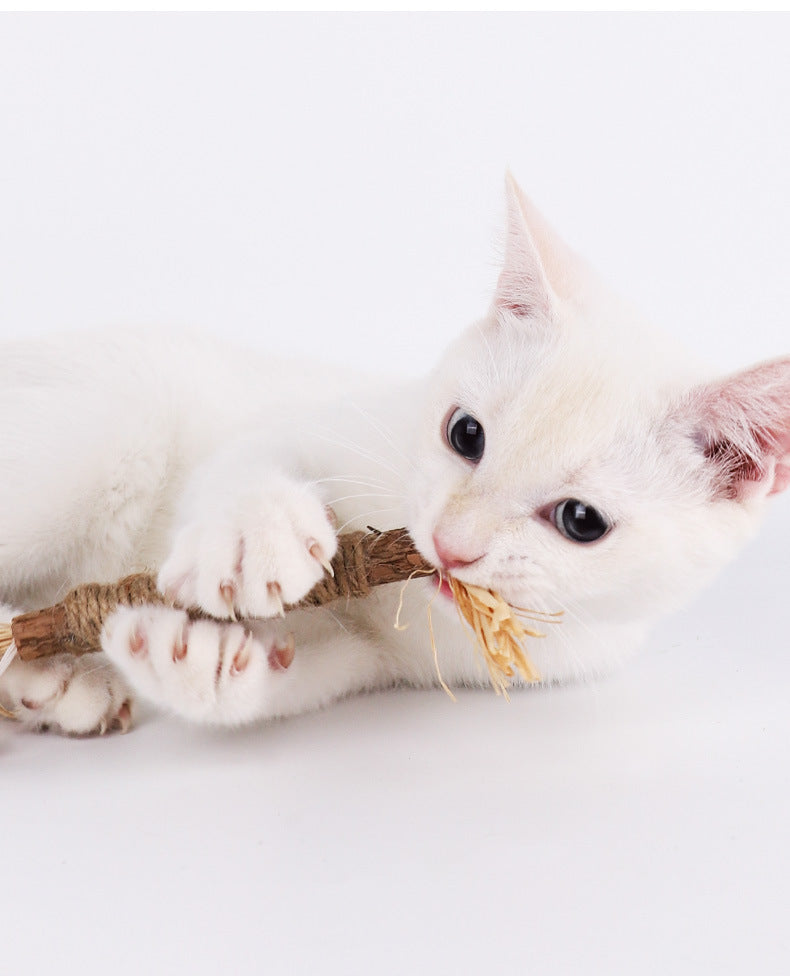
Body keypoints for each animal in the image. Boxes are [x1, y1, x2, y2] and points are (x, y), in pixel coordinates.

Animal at [1, 179, 790, 736]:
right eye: (466, 435)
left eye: (581, 521)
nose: (450, 545)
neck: (402, 611)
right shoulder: (307, 418)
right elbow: (247, 457)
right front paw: (255, 538)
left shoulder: (372, 660)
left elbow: (299, 675)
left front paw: (204, 665)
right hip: (103, 429)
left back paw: (54, 683)